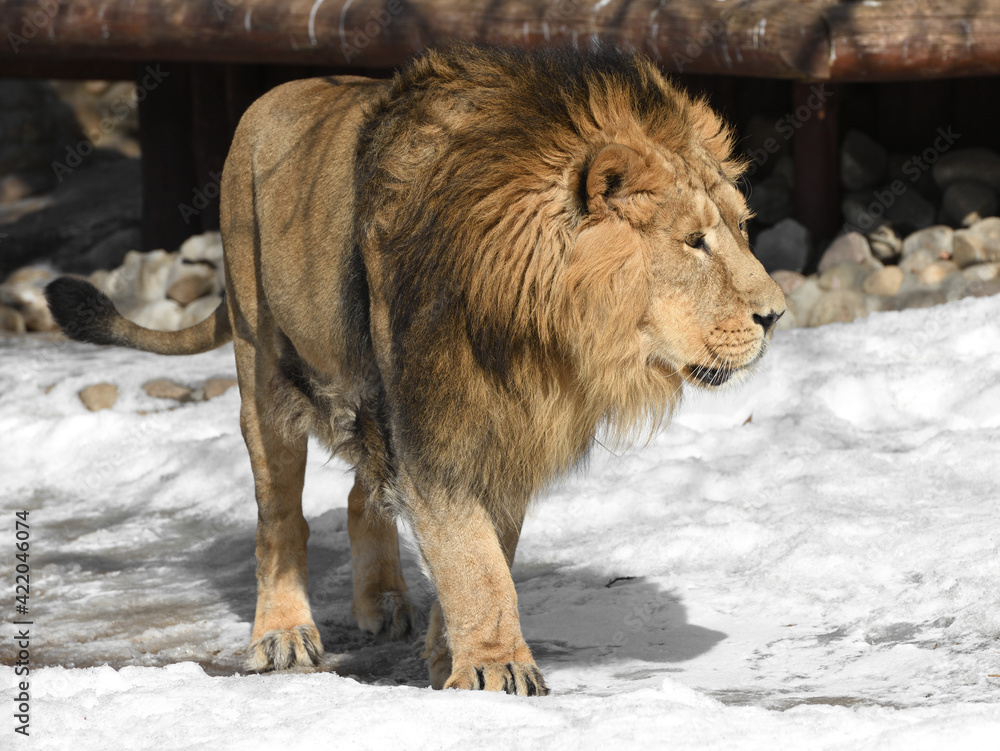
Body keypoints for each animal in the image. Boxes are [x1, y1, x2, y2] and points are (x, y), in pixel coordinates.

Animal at [45, 45, 785, 695]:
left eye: (742, 228)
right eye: (694, 242)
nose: (776, 314)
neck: (538, 334)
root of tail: (275, 94)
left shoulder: (503, 432)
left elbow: (486, 552)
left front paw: (448, 656)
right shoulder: (432, 427)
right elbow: (475, 563)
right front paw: (496, 670)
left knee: (360, 495)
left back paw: (382, 601)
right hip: (262, 366)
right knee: (279, 518)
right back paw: (281, 634)